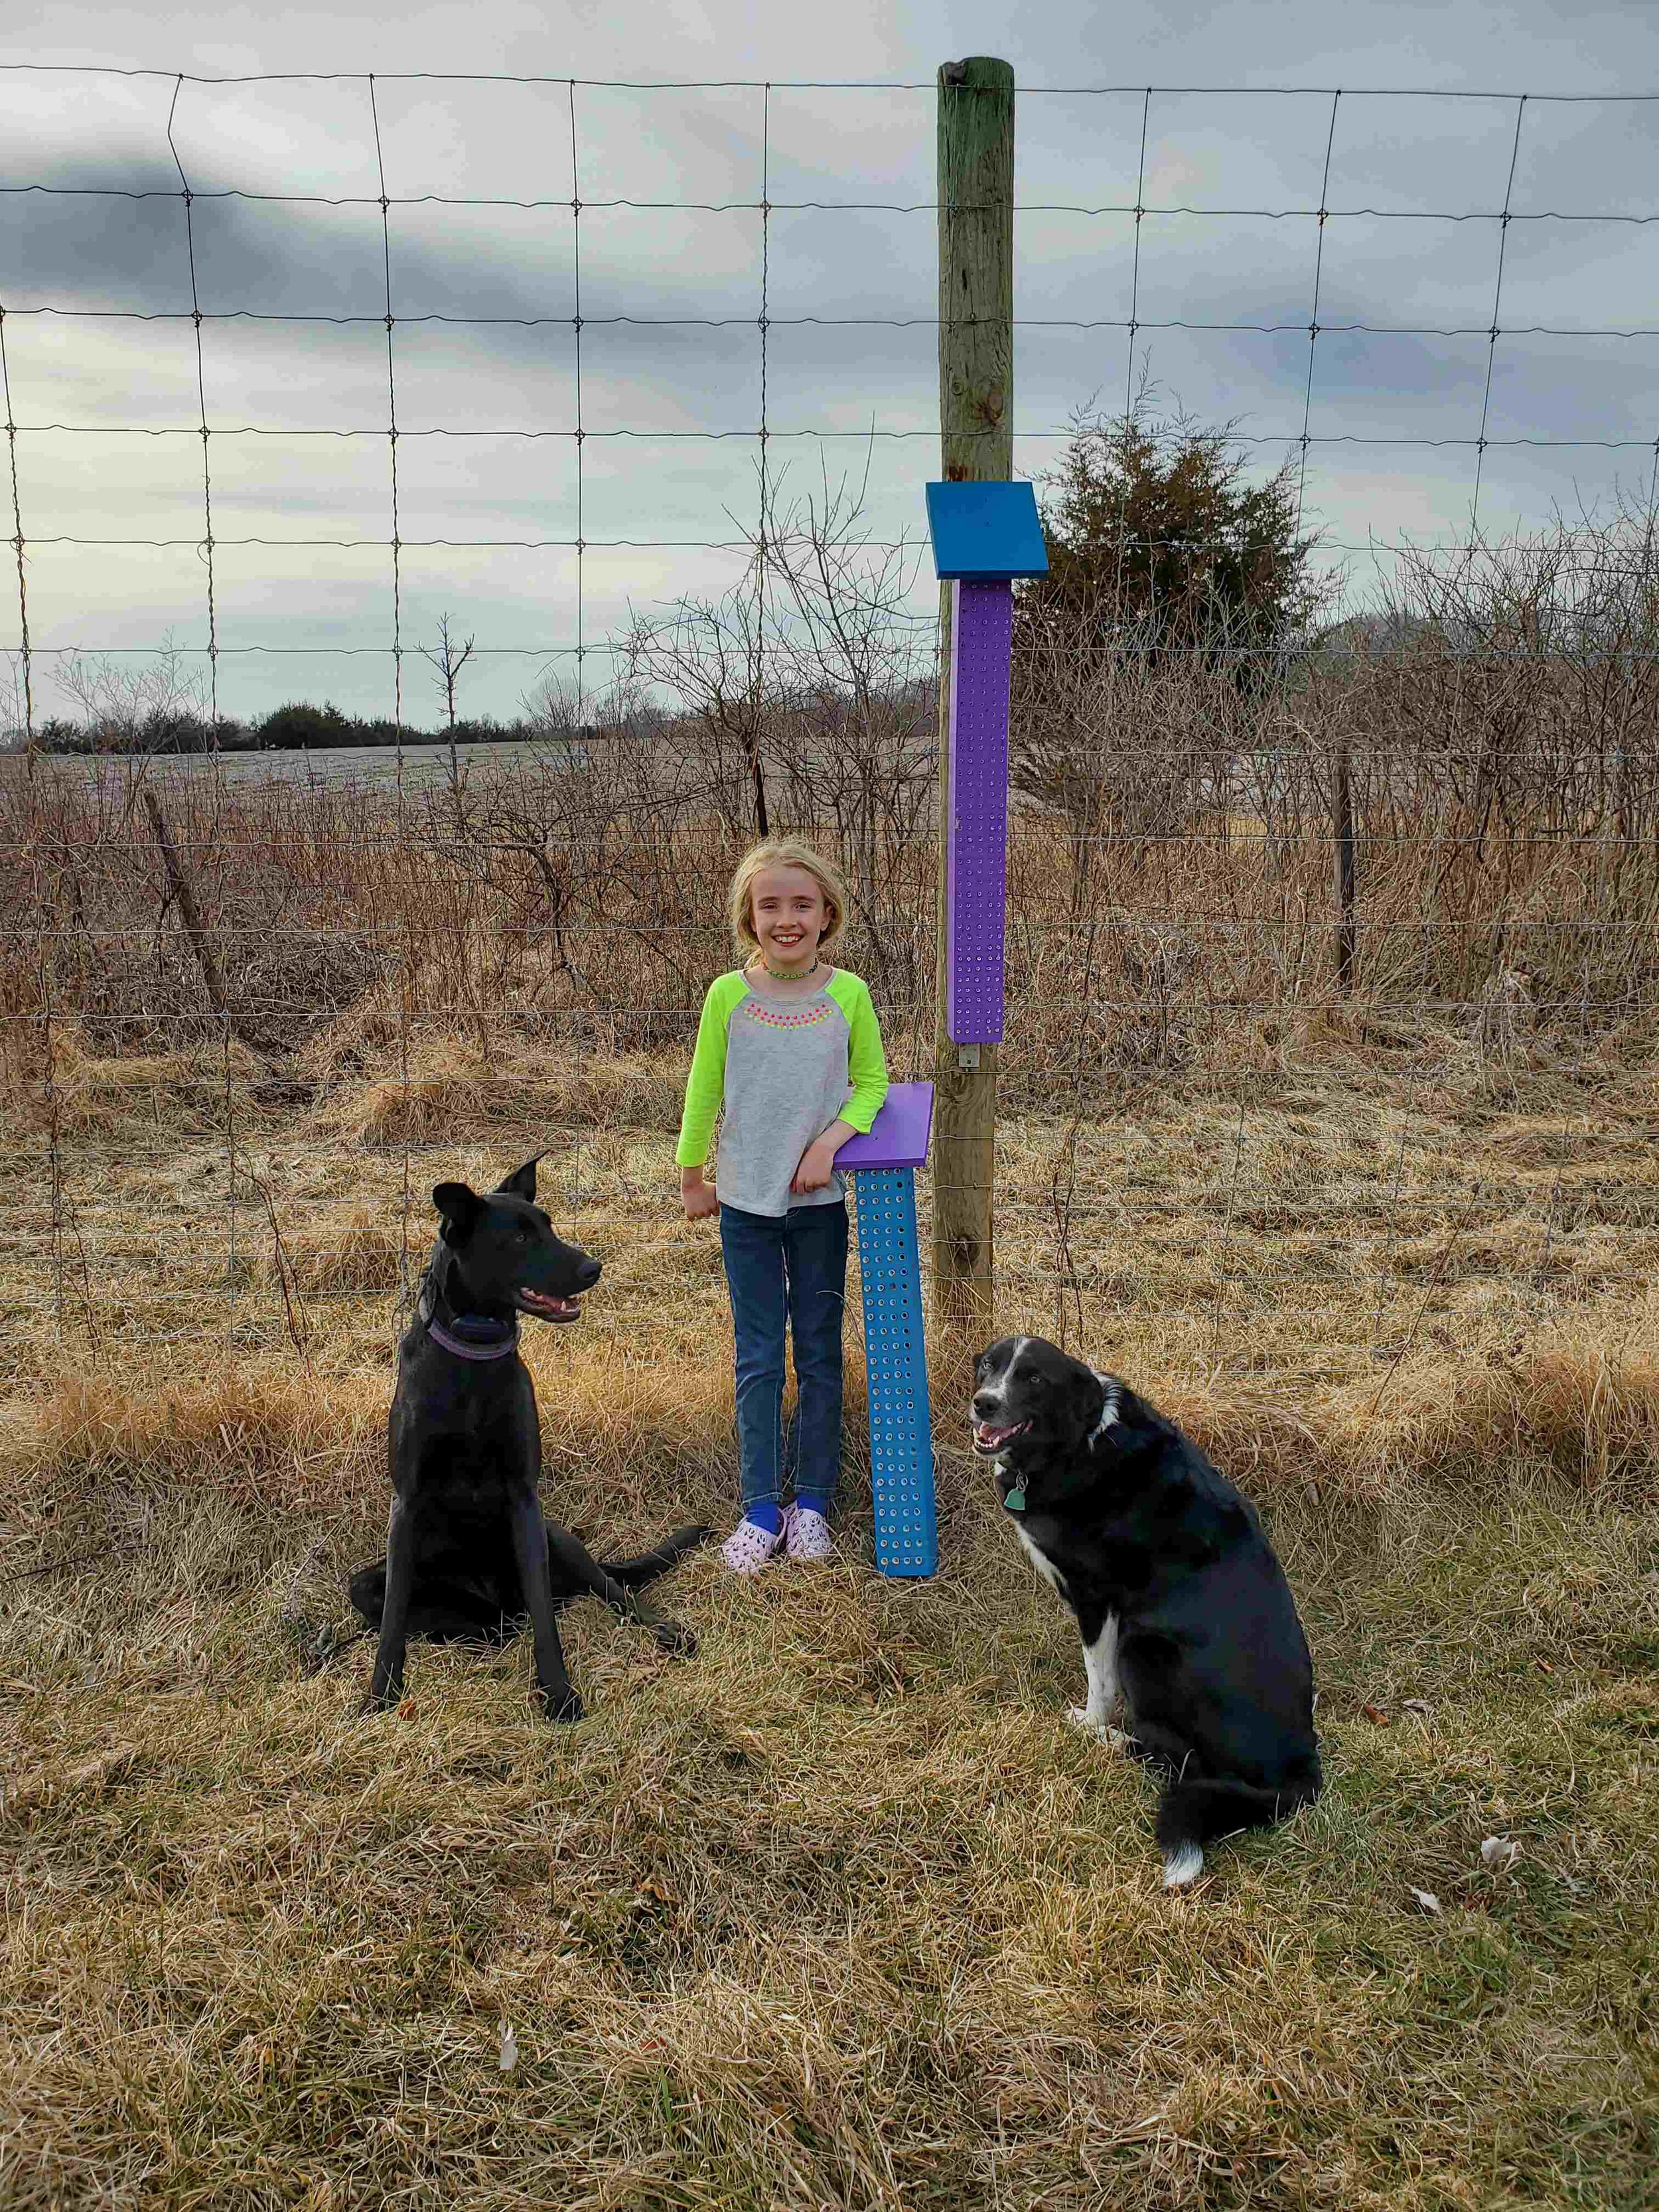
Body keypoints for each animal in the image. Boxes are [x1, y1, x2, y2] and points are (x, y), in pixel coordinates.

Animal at [358, 1159, 707, 1725]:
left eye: (549, 1225)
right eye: (520, 1237)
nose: (593, 1268)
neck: (473, 1357)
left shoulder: (525, 1499)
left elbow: (547, 1616)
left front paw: (559, 1692)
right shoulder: (405, 1505)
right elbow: (392, 1618)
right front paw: (381, 1691)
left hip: (558, 1539)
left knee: (608, 1591)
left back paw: (662, 1629)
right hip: (379, 1582)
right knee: (463, 1617)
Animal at [973, 1327, 1327, 1884]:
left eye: (1034, 1378)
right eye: (988, 1366)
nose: (983, 1403)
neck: (1078, 1441)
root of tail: (1300, 1766)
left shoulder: (1098, 1600)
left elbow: (1099, 1680)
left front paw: (1090, 1722)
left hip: (1145, 1648)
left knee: (1177, 1761)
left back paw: (1110, 1741)